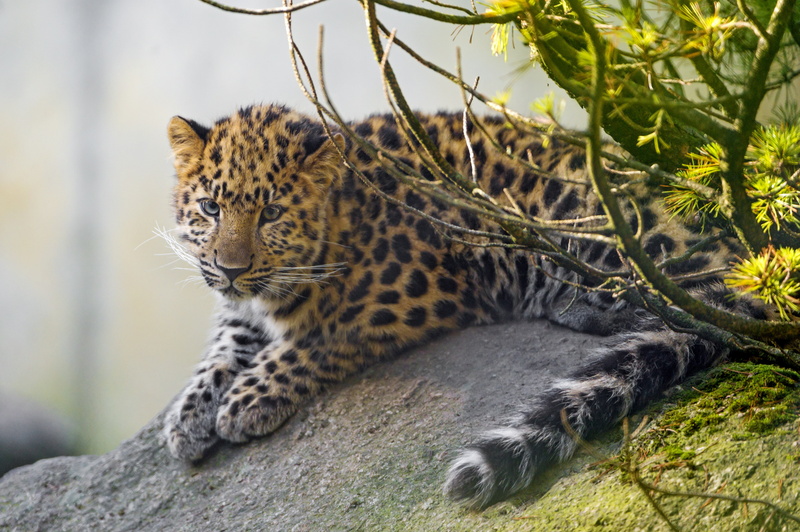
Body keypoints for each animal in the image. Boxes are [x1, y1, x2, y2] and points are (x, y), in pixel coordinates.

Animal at [162, 103, 765, 509]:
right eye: (210, 208)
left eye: (271, 213)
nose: (231, 268)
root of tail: (749, 259)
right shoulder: (239, 308)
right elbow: (220, 350)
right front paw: (187, 417)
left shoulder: (408, 291)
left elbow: (319, 336)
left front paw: (245, 400)